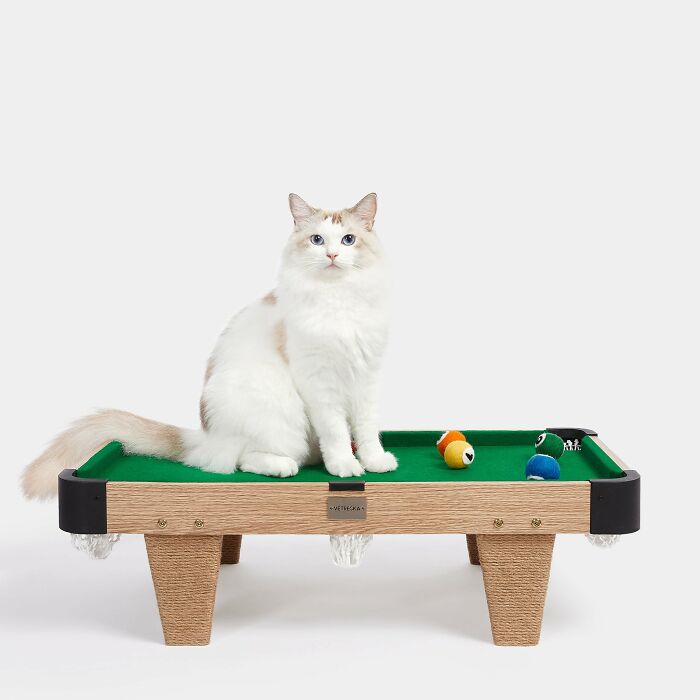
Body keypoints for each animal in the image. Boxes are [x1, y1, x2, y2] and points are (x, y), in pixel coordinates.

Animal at [23, 191, 394, 498]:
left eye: (348, 240)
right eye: (317, 240)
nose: (331, 254)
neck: (338, 299)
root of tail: (206, 436)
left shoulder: (367, 376)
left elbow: (366, 428)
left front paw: (374, 461)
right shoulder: (320, 383)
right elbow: (335, 431)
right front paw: (344, 465)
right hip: (279, 416)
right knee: (240, 460)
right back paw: (280, 466)